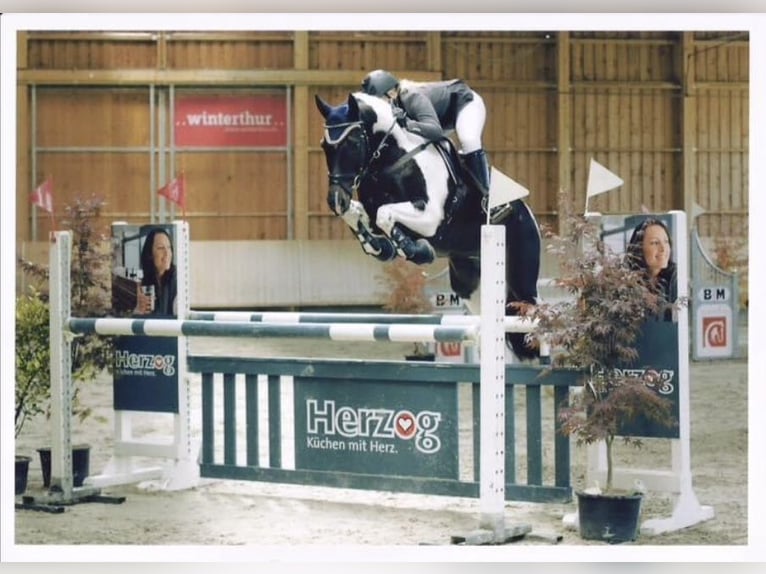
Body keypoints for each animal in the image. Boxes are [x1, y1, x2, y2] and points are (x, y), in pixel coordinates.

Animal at [316, 91, 544, 360]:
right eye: (325, 146)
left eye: (352, 143)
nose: (335, 200)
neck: (390, 160)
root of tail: (528, 213)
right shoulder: (372, 212)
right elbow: (360, 216)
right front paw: (382, 247)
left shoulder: (430, 216)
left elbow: (385, 214)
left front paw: (417, 251)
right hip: (470, 285)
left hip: (522, 279)